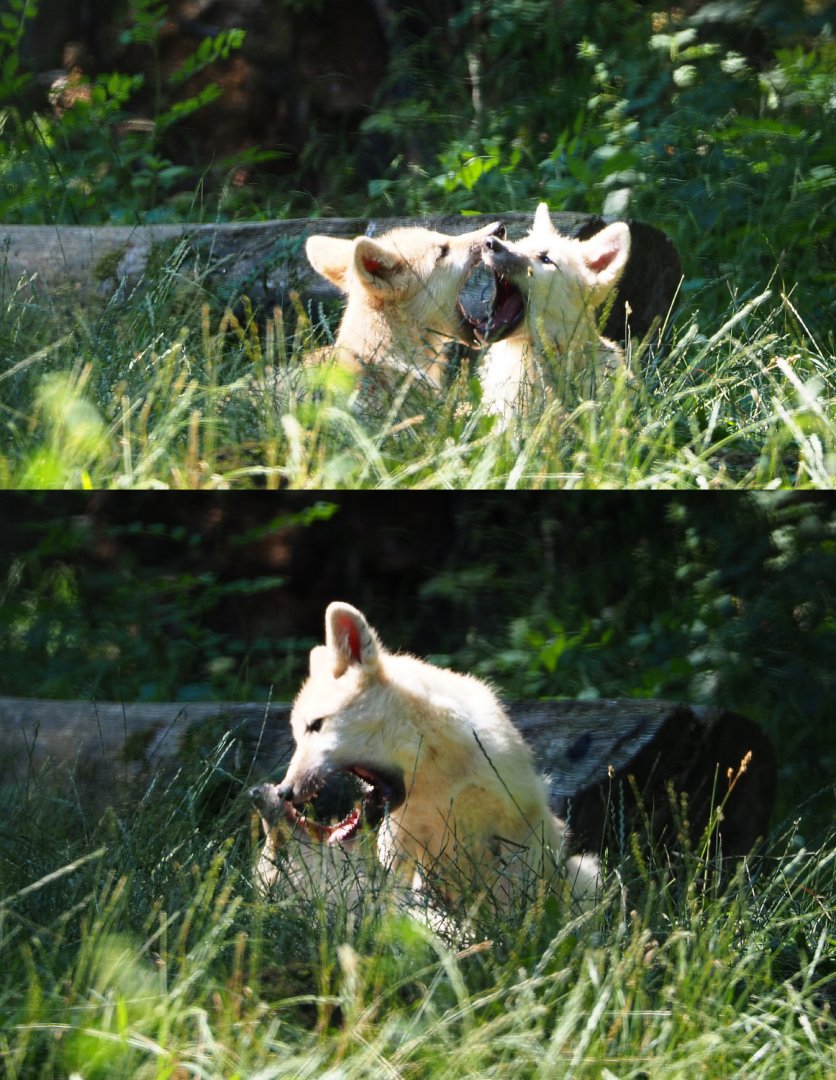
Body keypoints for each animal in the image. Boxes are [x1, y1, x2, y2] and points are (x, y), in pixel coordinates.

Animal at [250, 602, 598, 918]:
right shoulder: (403, 848)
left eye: (316, 725)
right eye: (298, 736)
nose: (283, 791)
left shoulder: (516, 835)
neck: (436, 782)